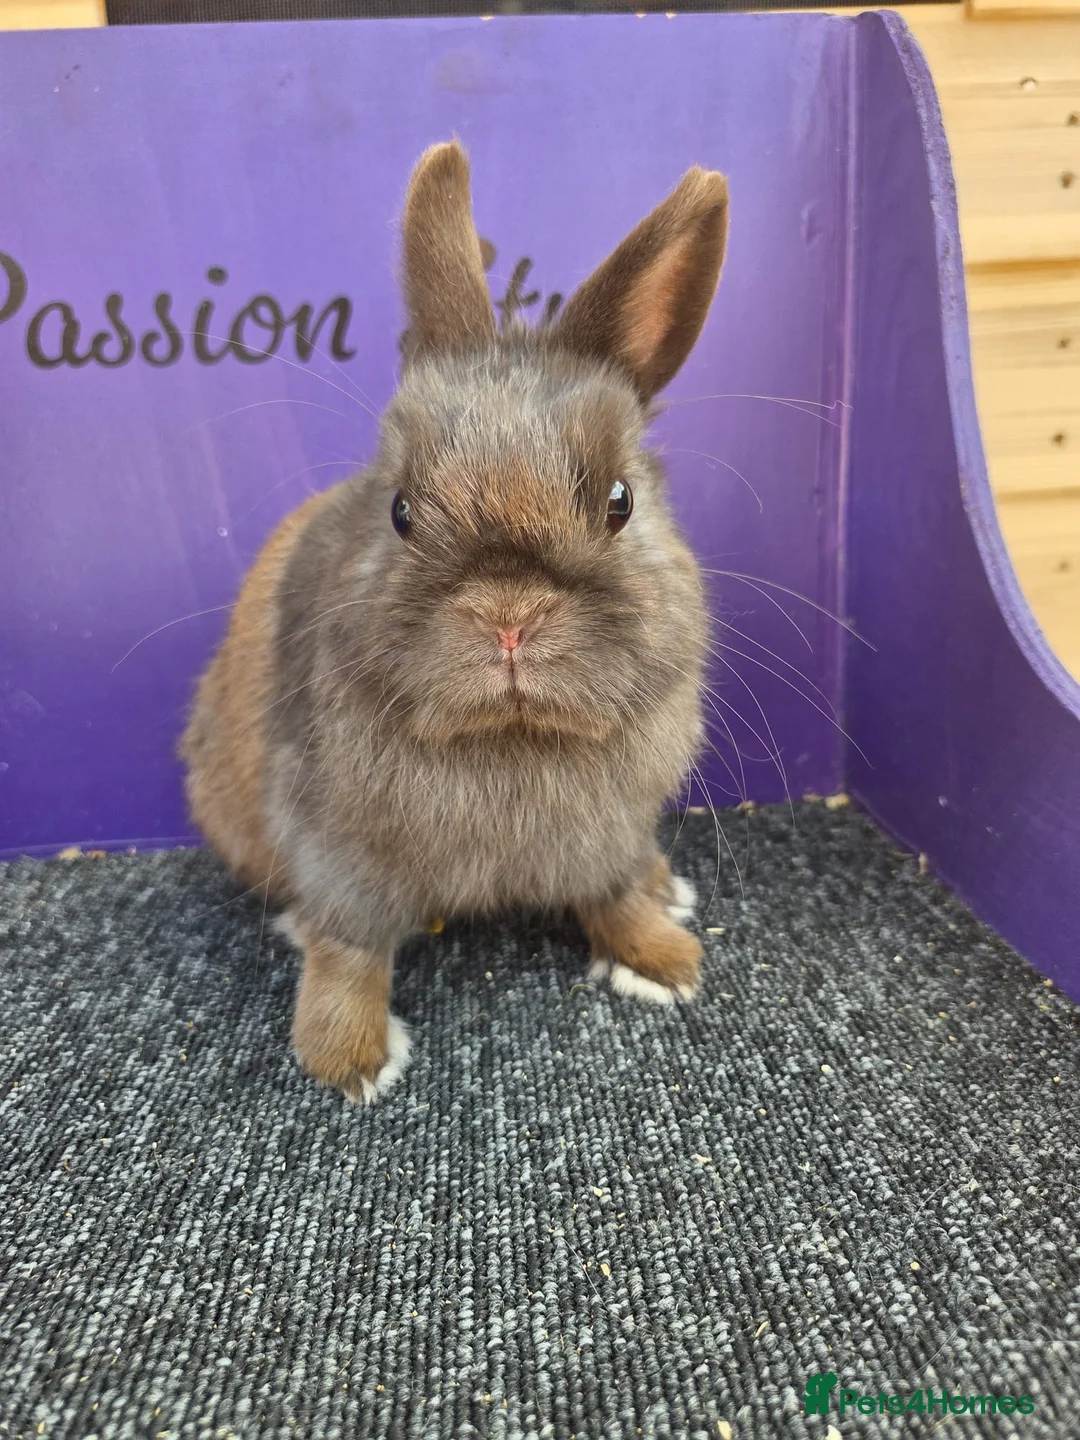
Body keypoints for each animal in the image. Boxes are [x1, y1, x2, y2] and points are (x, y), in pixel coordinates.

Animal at [181, 141, 729, 1102]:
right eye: (400, 510)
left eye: (620, 502)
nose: (508, 619)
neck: (509, 740)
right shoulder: (337, 854)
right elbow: (349, 951)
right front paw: (350, 1059)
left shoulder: (614, 836)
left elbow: (617, 896)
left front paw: (665, 963)